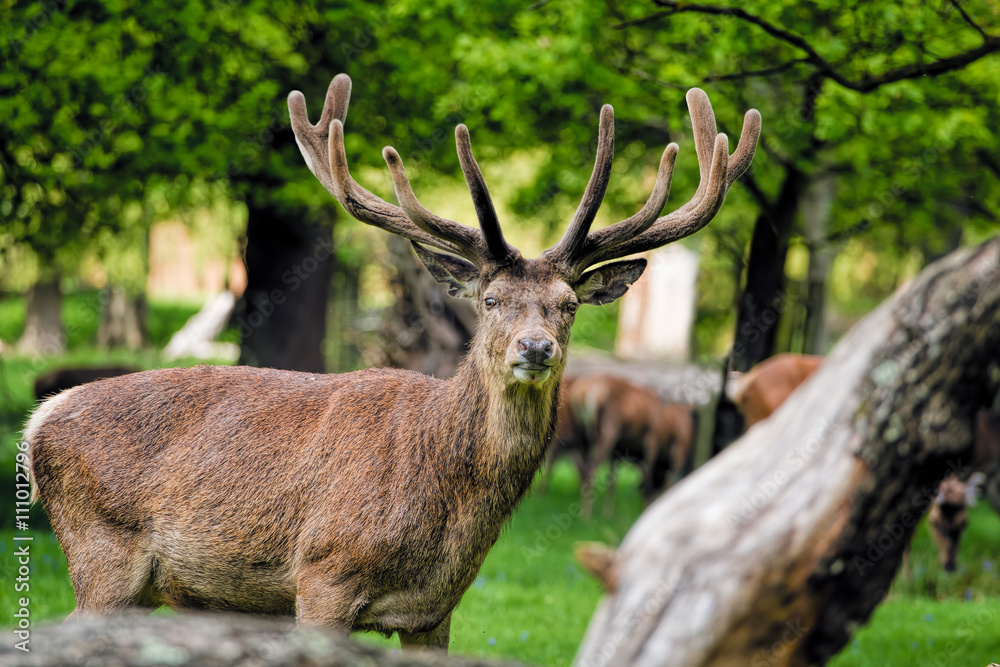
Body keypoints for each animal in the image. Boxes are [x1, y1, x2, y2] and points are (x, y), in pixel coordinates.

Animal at [26, 73, 760, 651]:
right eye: (490, 299)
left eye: (568, 304)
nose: (535, 347)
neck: (445, 501)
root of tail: (38, 422)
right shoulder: (320, 577)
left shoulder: (436, 611)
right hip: (101, 552)